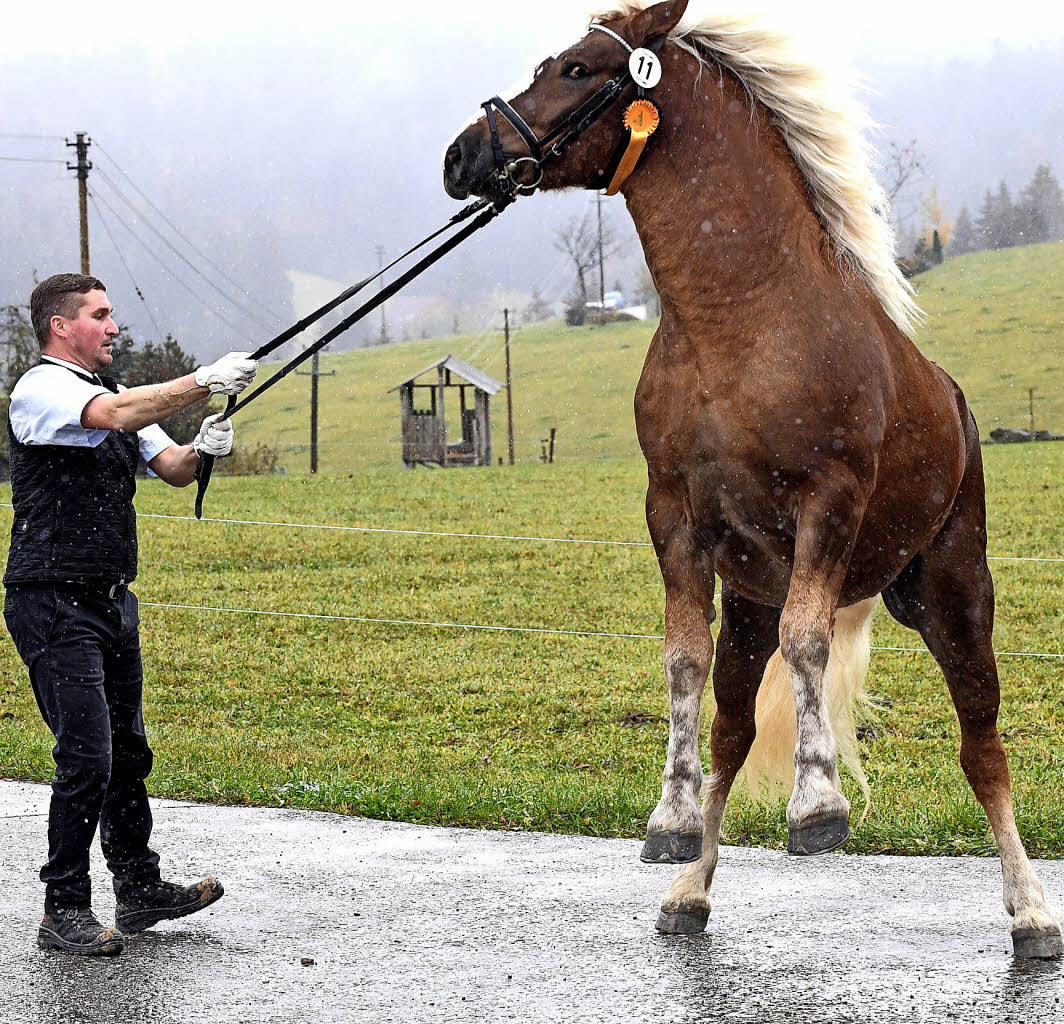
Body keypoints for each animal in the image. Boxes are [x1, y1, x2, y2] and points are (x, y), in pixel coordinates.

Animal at [440, 1, 1055, 958]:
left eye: (576, 69)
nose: (462, 157)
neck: (740, 321)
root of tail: (956, 406)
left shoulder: (828, 504)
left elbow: (810, 643)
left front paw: (818, 804)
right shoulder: (675, 519)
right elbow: (683, 662)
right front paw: (669, 823)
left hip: (955, 594)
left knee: (981, 746)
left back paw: (1029, 909)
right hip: (753, 605)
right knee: (731, 728)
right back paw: (690, 892)